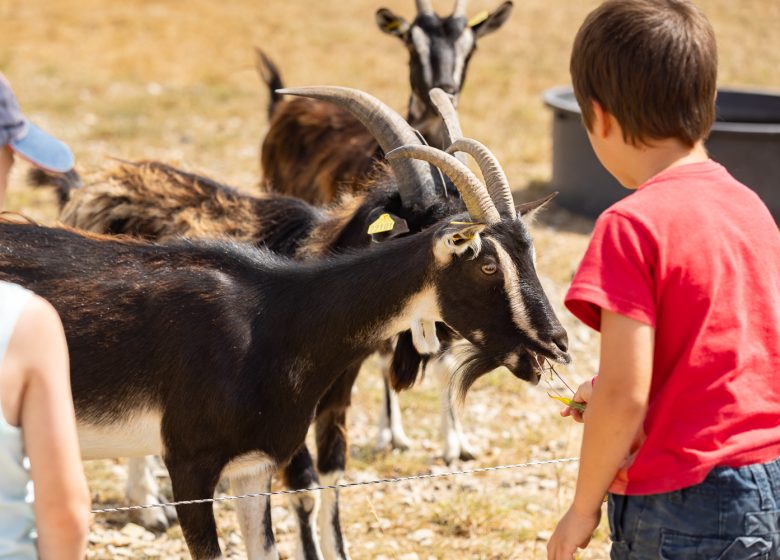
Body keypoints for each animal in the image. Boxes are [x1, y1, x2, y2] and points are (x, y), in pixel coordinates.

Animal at [36, 85, 564, 556]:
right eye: (473, 253)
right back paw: (148, 506)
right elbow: (305, 487)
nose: (555, 341)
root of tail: (103, 180)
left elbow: (332, 477)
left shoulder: (334, 402)